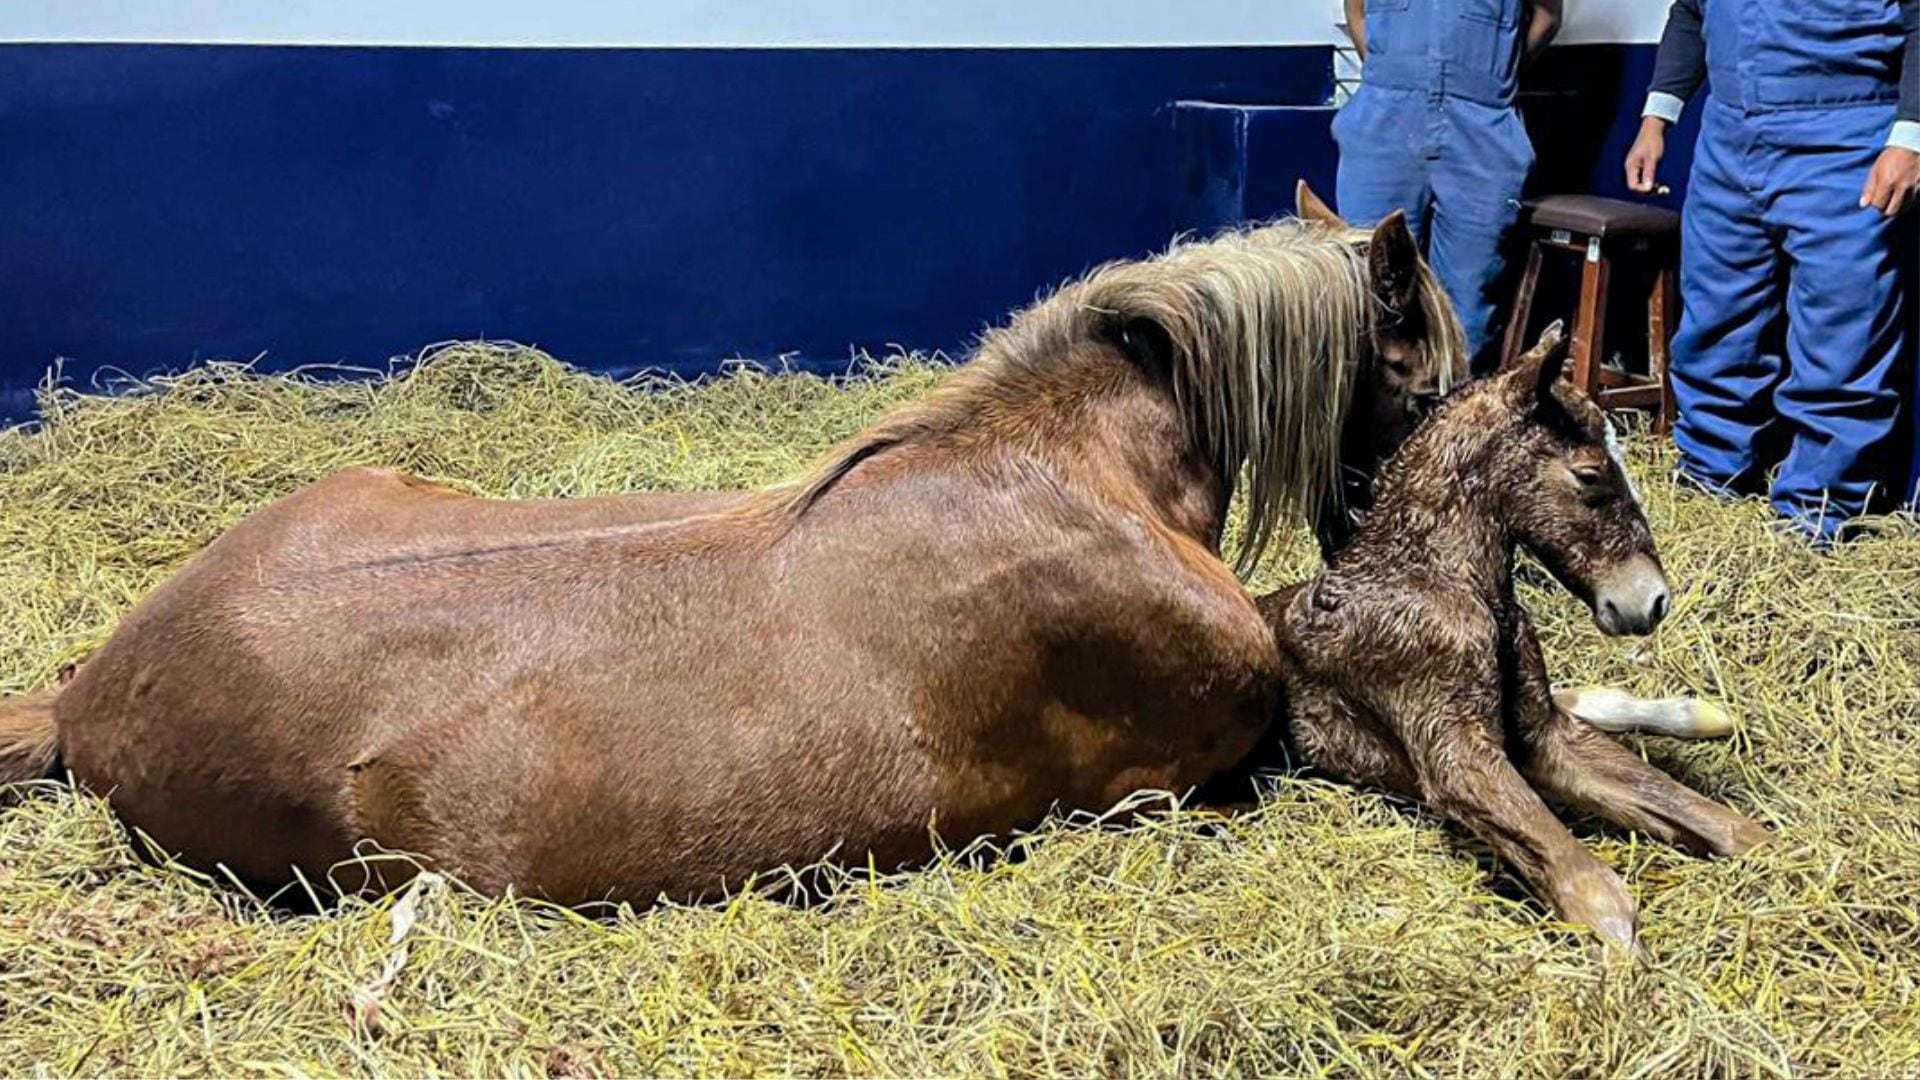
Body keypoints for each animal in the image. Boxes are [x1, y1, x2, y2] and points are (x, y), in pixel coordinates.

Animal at [1259, 322, 1766, 945]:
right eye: (1590, 474)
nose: (1651, 600)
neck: (1435, 579)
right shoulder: (1457, 756)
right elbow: (1595, 889)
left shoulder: (1542, 735)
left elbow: (1701, 813)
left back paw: (1703, 715)